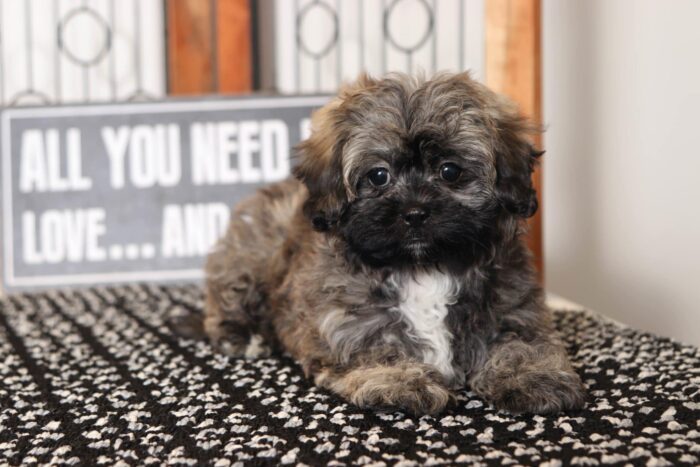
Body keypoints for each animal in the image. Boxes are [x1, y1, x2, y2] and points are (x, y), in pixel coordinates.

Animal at [201, 71, 584, 414]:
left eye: (450, 171)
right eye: (378, 176)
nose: (414, 212)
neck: (423, 268)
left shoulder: (513, 303)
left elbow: (521, 341)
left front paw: (533, 376)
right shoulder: (346, 316)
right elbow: (375, 344)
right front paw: (400, 380)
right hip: (253, 254)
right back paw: (242, 334)